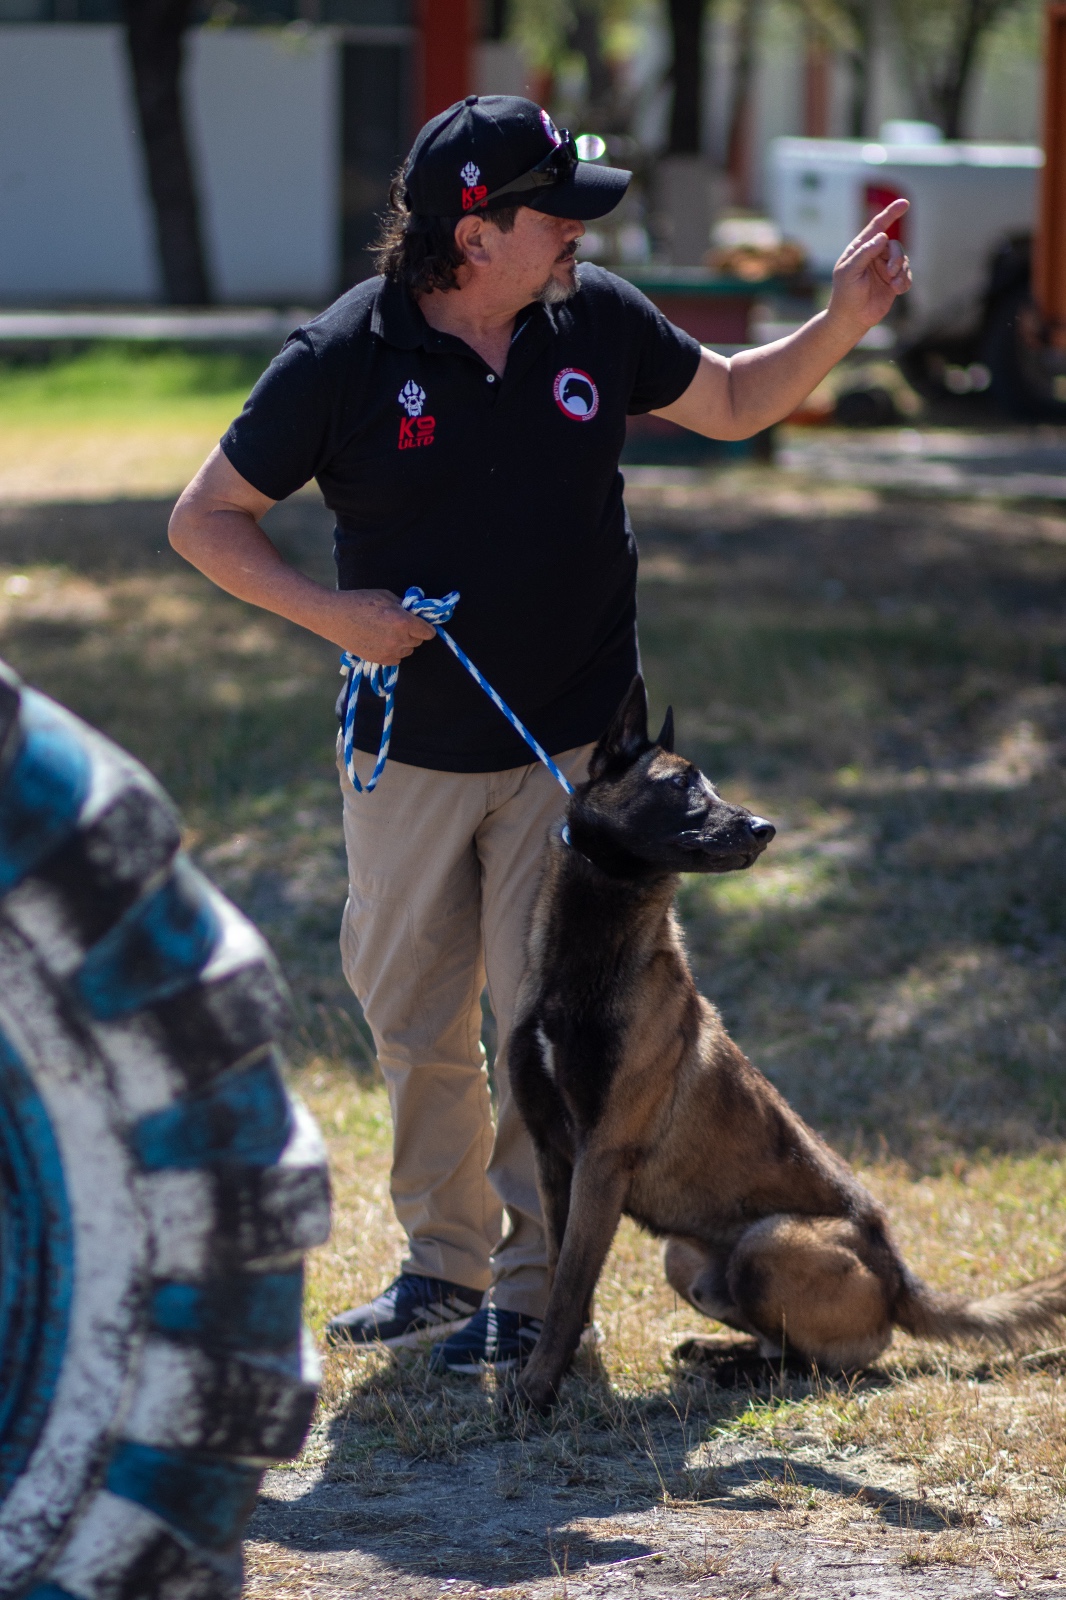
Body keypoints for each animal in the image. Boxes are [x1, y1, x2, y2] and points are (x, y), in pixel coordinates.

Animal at [505, 675, 1062, 1414]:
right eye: (681, 785)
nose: (764, 828)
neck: (587, 962)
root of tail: (897, 1278)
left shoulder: (601, 1158)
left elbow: (569, 1286)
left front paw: (537, 1390)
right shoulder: (552, 1153)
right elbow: (559, 1277)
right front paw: (563, 1374)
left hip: (766, 1245)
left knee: (828, 1363)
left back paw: (737, 1372)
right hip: (684, 1257)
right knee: (781, 1343)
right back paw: (717, 1355)